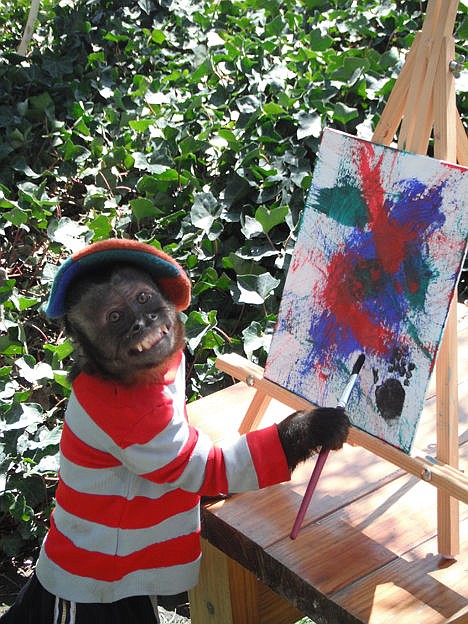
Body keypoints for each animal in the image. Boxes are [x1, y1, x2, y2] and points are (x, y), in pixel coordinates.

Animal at [64, 264, 350, 472]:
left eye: (142, 298)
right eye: (115, 317)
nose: (141, 322)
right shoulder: (140, 424)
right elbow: (212, 466)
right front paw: (315, 426)